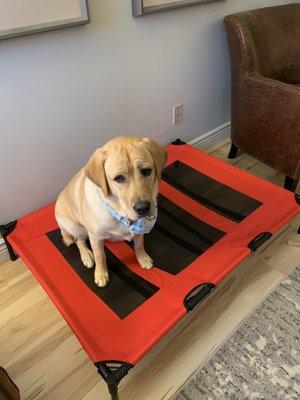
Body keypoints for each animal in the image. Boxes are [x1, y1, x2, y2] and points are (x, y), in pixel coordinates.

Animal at [55, 136, 168, 286]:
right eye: (119, 178)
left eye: (146, 171)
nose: (143, 208)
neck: (120, 213)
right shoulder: (95, 237)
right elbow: (100, 256)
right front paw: (101, 274)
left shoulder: (139, 232)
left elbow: (139, 245)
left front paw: (142, 258)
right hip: (75, 227)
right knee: (79, 241)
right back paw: (86, 256)